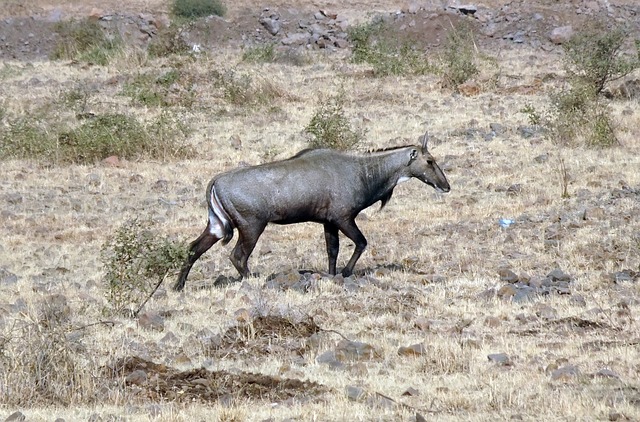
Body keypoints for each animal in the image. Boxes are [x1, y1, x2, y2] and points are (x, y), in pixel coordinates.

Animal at [175, 134, 450, 292]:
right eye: (429, 161)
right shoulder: (343, 218)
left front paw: (331, 276)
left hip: (217, 225)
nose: (446, 186)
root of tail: (216, 182)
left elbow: (332, 250)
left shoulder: (328, 222)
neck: (363, 171)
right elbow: (361, 242)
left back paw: (178, 287)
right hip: (251, 227)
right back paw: (255, 282)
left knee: (193, 248)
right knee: (238, 256)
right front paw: (346, 273)